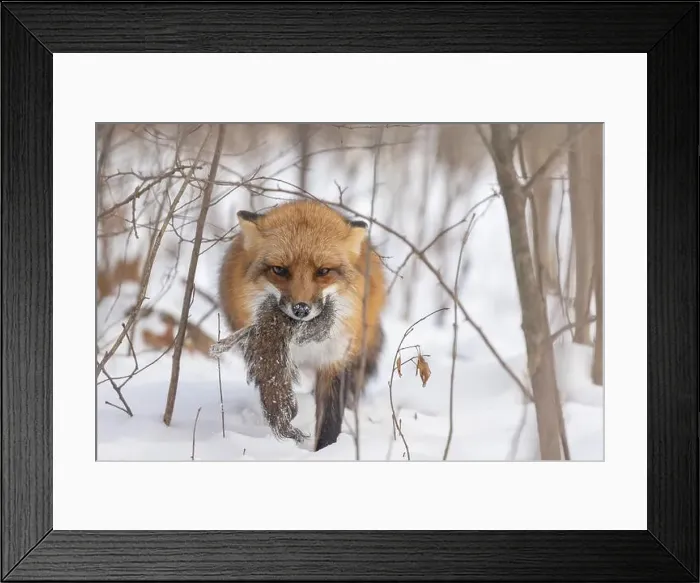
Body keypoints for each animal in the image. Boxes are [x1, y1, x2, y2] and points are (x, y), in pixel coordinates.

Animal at [218, 199, 386, 451]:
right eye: (279, 270)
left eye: (323, 271)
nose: (301, 309)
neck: (303, 339)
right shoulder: (269, 354)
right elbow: (275, 390)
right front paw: (285, 426)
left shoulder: (334, 359)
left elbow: (329, 418)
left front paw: (326, 451)